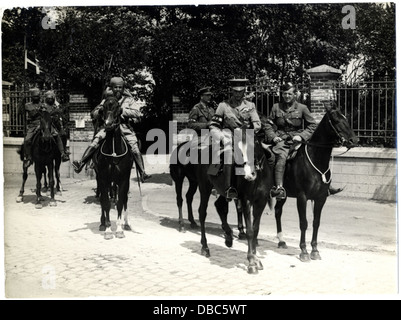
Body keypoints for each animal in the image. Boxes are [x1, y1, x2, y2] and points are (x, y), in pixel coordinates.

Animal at [92, 97, 133, 240]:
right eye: (102, 108)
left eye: (117, 108)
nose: (108, 124)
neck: (114, 152)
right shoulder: (103, 179)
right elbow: (106, 203)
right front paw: (108, 230)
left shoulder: (124, 180)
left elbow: (120, 202)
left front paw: (120, 229)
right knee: (103, 201)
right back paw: (102, 223)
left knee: (124, 200)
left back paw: (126, 224)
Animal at [195, 129, 276, 272]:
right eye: (238, 151)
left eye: (255, 143)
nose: (249, 174)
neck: (258, 177)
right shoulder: (246, 201)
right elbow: (249, 231)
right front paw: (251, 261)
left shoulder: (261, 202)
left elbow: (255, 230)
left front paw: (256, 258)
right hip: (204, 188)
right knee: (202, 213)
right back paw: (205, 247)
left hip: (223, 191)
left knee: (219, 206)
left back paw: (228, 237)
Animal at [274, 104, 358, 262]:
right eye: (336, 120)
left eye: (346, 118)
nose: (354, 141)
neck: (316, 159)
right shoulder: (302, 197)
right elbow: (304, 223)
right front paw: (304, 251)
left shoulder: (321, 198)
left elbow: (316, 223)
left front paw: (314, 250)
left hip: (283, 195)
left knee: (277, 211)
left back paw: (281, 241)